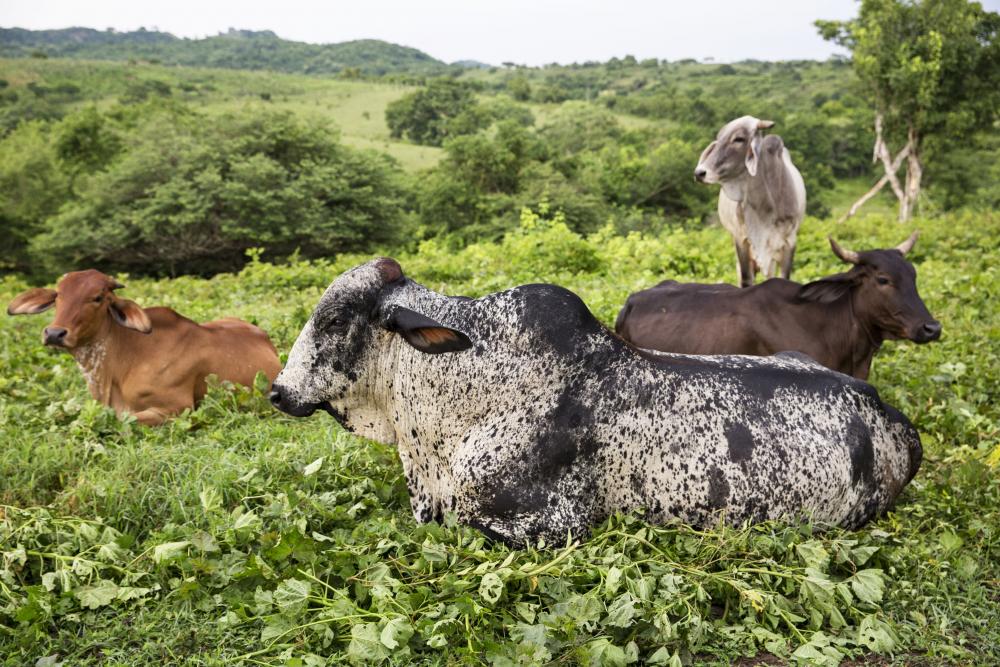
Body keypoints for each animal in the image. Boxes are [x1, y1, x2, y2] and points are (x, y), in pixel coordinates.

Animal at [700, 117, 808, 288]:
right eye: (719, 138)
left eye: (738, 139)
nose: (699, 172)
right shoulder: (741, 239)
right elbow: (746, 279)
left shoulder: (790, 242)